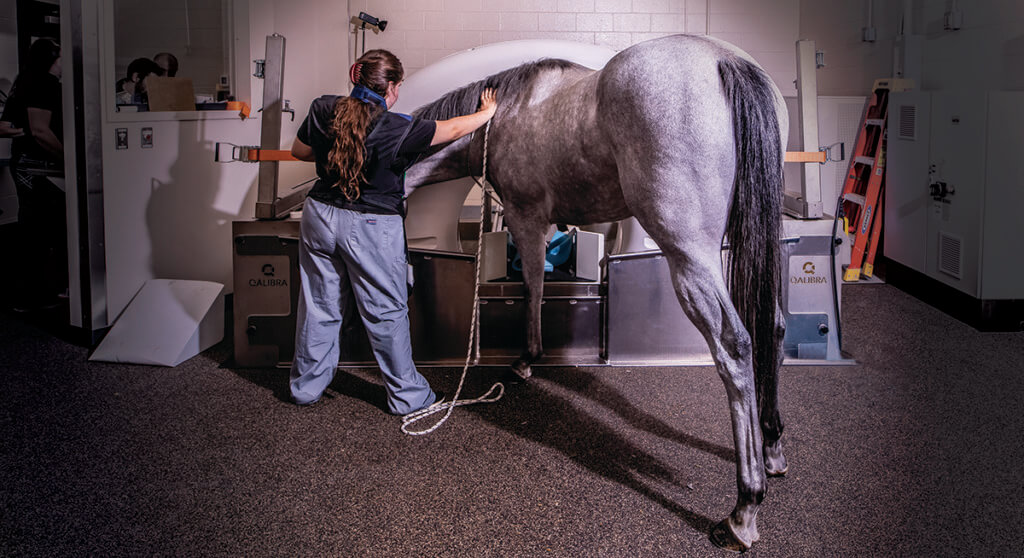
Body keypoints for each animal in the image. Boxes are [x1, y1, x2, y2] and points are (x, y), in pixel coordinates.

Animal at [405, 33, 782, 548]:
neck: (502, 116)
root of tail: (724, 62)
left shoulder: (526, 217)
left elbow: (534, 286)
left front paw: (527, 358)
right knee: (774, 327)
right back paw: (773, 448)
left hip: (691, 256)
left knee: (736, 346)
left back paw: (743, 509)